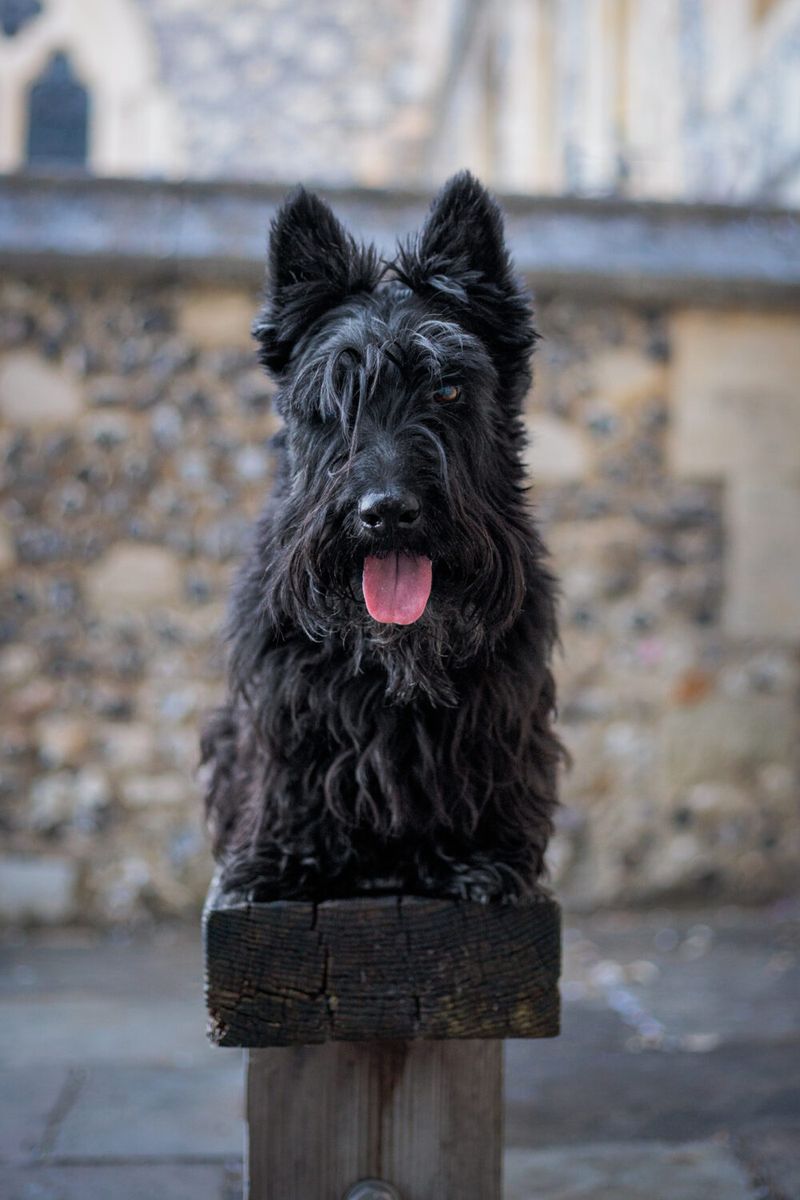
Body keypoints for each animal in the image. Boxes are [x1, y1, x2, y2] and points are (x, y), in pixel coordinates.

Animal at [200, 169, 563, 902]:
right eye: (336, 392)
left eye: (448, 390)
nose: (388, 511)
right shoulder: (284, 696)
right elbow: (290, 765)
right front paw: (277, 859)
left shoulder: (499, 705)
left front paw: (477, 857)